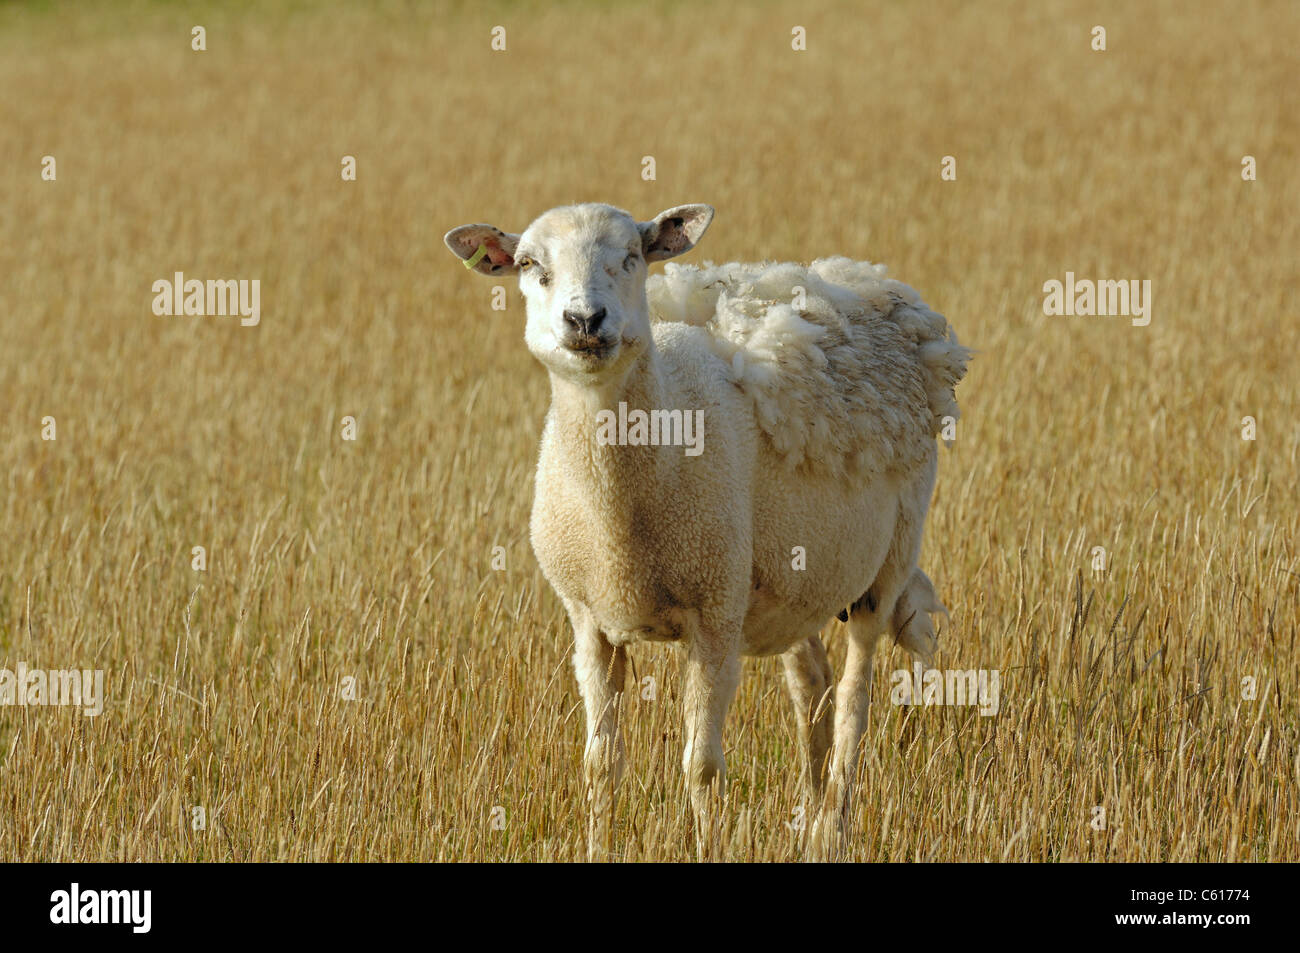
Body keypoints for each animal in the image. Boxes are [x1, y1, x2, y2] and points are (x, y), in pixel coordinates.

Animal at [447, 204, 967, 858]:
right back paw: (809, 817)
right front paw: (598, 845)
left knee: (853, 700)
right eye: (527, 264)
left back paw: (832, 828)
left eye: (634, 256)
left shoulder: (715, 614)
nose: (585, 320)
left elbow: (702, 767)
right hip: (792, 580)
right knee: (812, 691)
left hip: (889, 559)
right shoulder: (588, 618)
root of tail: (870, 282)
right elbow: (600, 764)